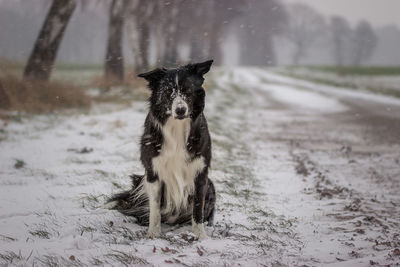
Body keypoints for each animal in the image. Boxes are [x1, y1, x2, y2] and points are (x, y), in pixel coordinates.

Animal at [108, 59, 216, 240]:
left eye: (187, 90)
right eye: (168, 91)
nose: (180, 110)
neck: (177, 128)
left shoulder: (201, 172)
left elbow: (198, 209)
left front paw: (200, 236)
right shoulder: (152, 171)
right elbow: (155, 209)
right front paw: (153, 234)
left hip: (210, 186)